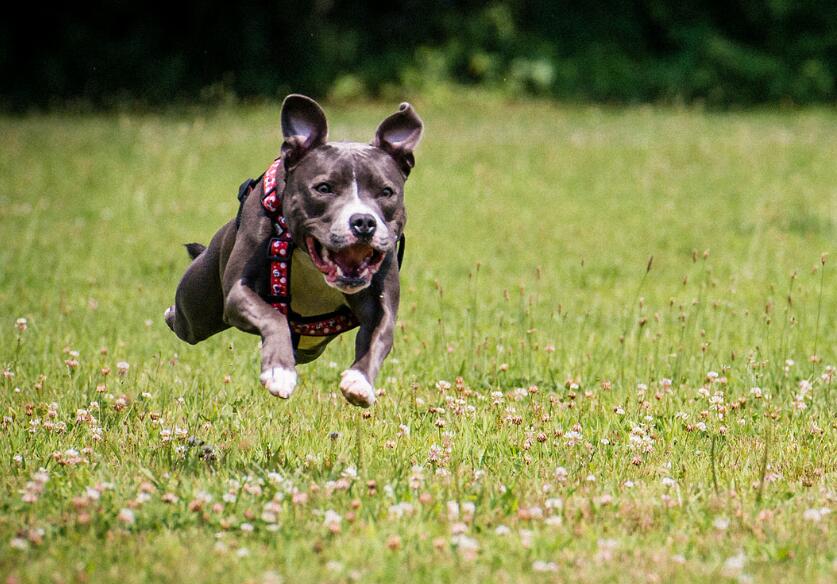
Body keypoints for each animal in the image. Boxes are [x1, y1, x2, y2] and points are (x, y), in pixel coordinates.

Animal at [164, 95, 423, 407]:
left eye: (386, 192)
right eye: (323, 188)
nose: (363, 221)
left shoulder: (381, 304)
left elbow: (379, 336)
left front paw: (360, 382)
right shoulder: (238, 291)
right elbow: (272, 317)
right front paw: (279, 372)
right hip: (196, 309)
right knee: (184, 321)